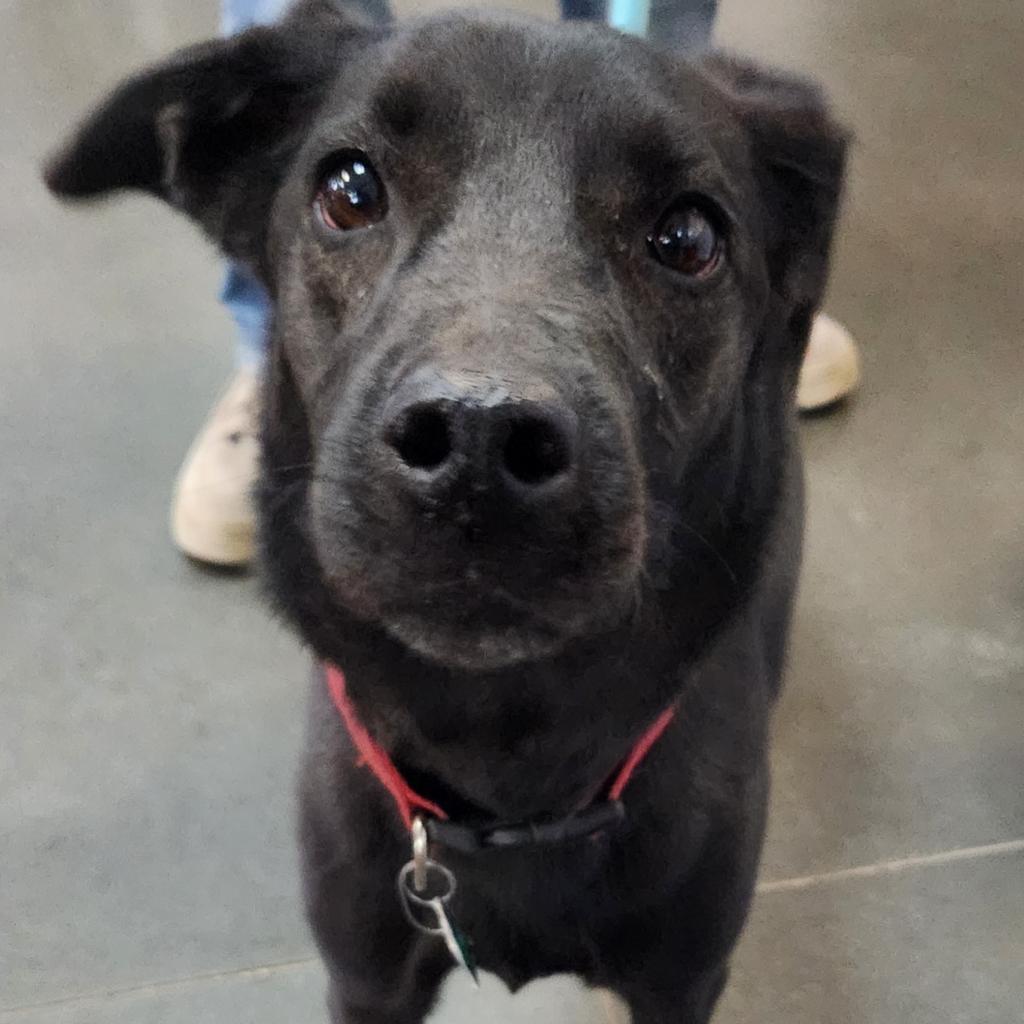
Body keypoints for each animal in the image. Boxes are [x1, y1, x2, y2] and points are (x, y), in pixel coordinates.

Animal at [46, 4, 847, 1019]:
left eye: (688, 238)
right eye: (349, 191)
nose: (478, 442)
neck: (507, 777)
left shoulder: (683, 979)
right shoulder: (365, 978)